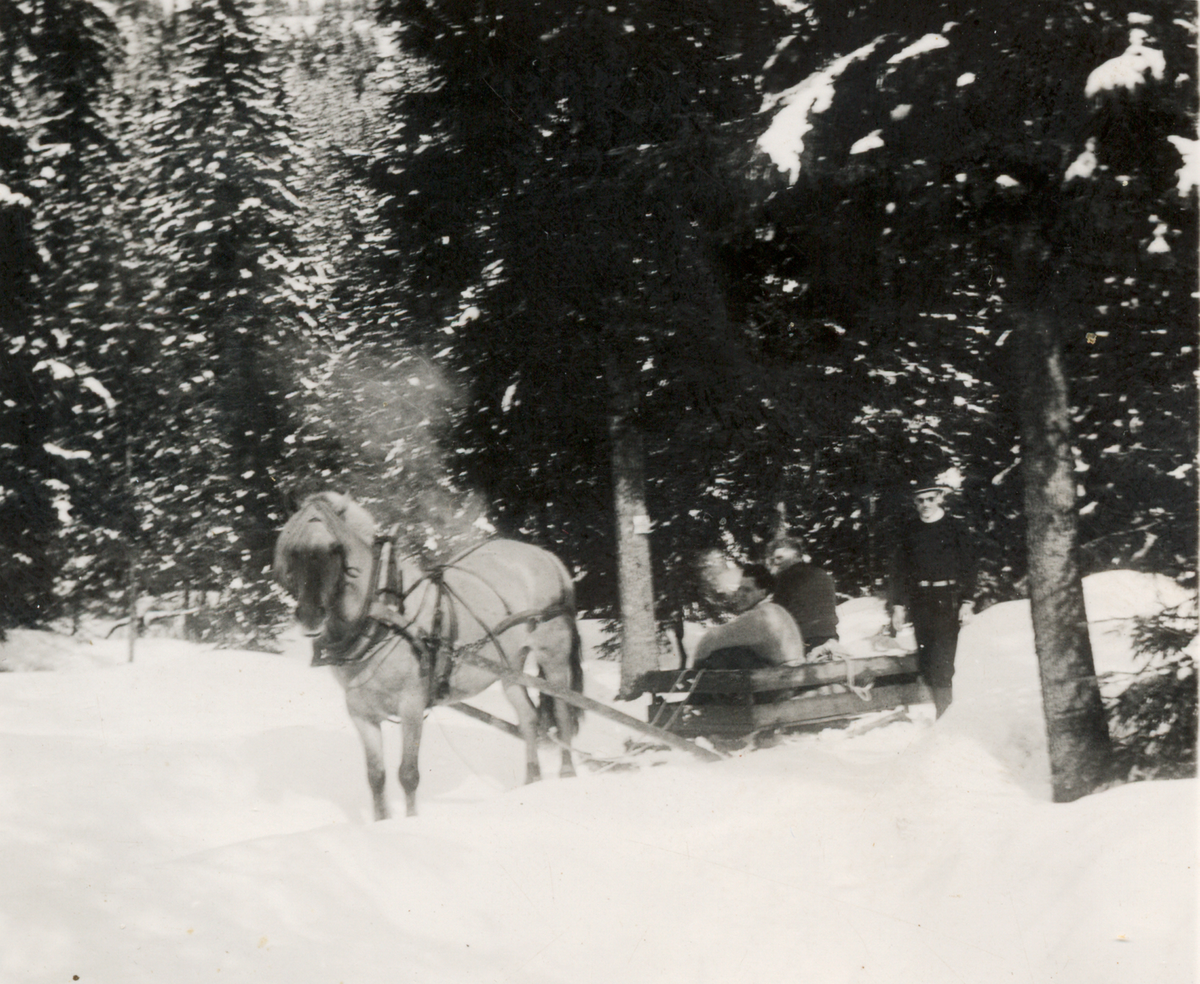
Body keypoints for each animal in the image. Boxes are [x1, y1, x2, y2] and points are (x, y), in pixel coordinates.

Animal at [276, 487, 585, 820]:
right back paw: (531, 782)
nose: (310, 616)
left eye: (335, 548)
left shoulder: (411, 705)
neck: (383, 618)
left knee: (563, 713)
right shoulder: (361, 712)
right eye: (292, 549)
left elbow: (408, 774)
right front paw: (382, 823)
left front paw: (412, 822)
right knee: (528, 718)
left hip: (552, 657)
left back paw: (567, 775)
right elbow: (376, 777)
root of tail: (546, 556)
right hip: (508, 666)